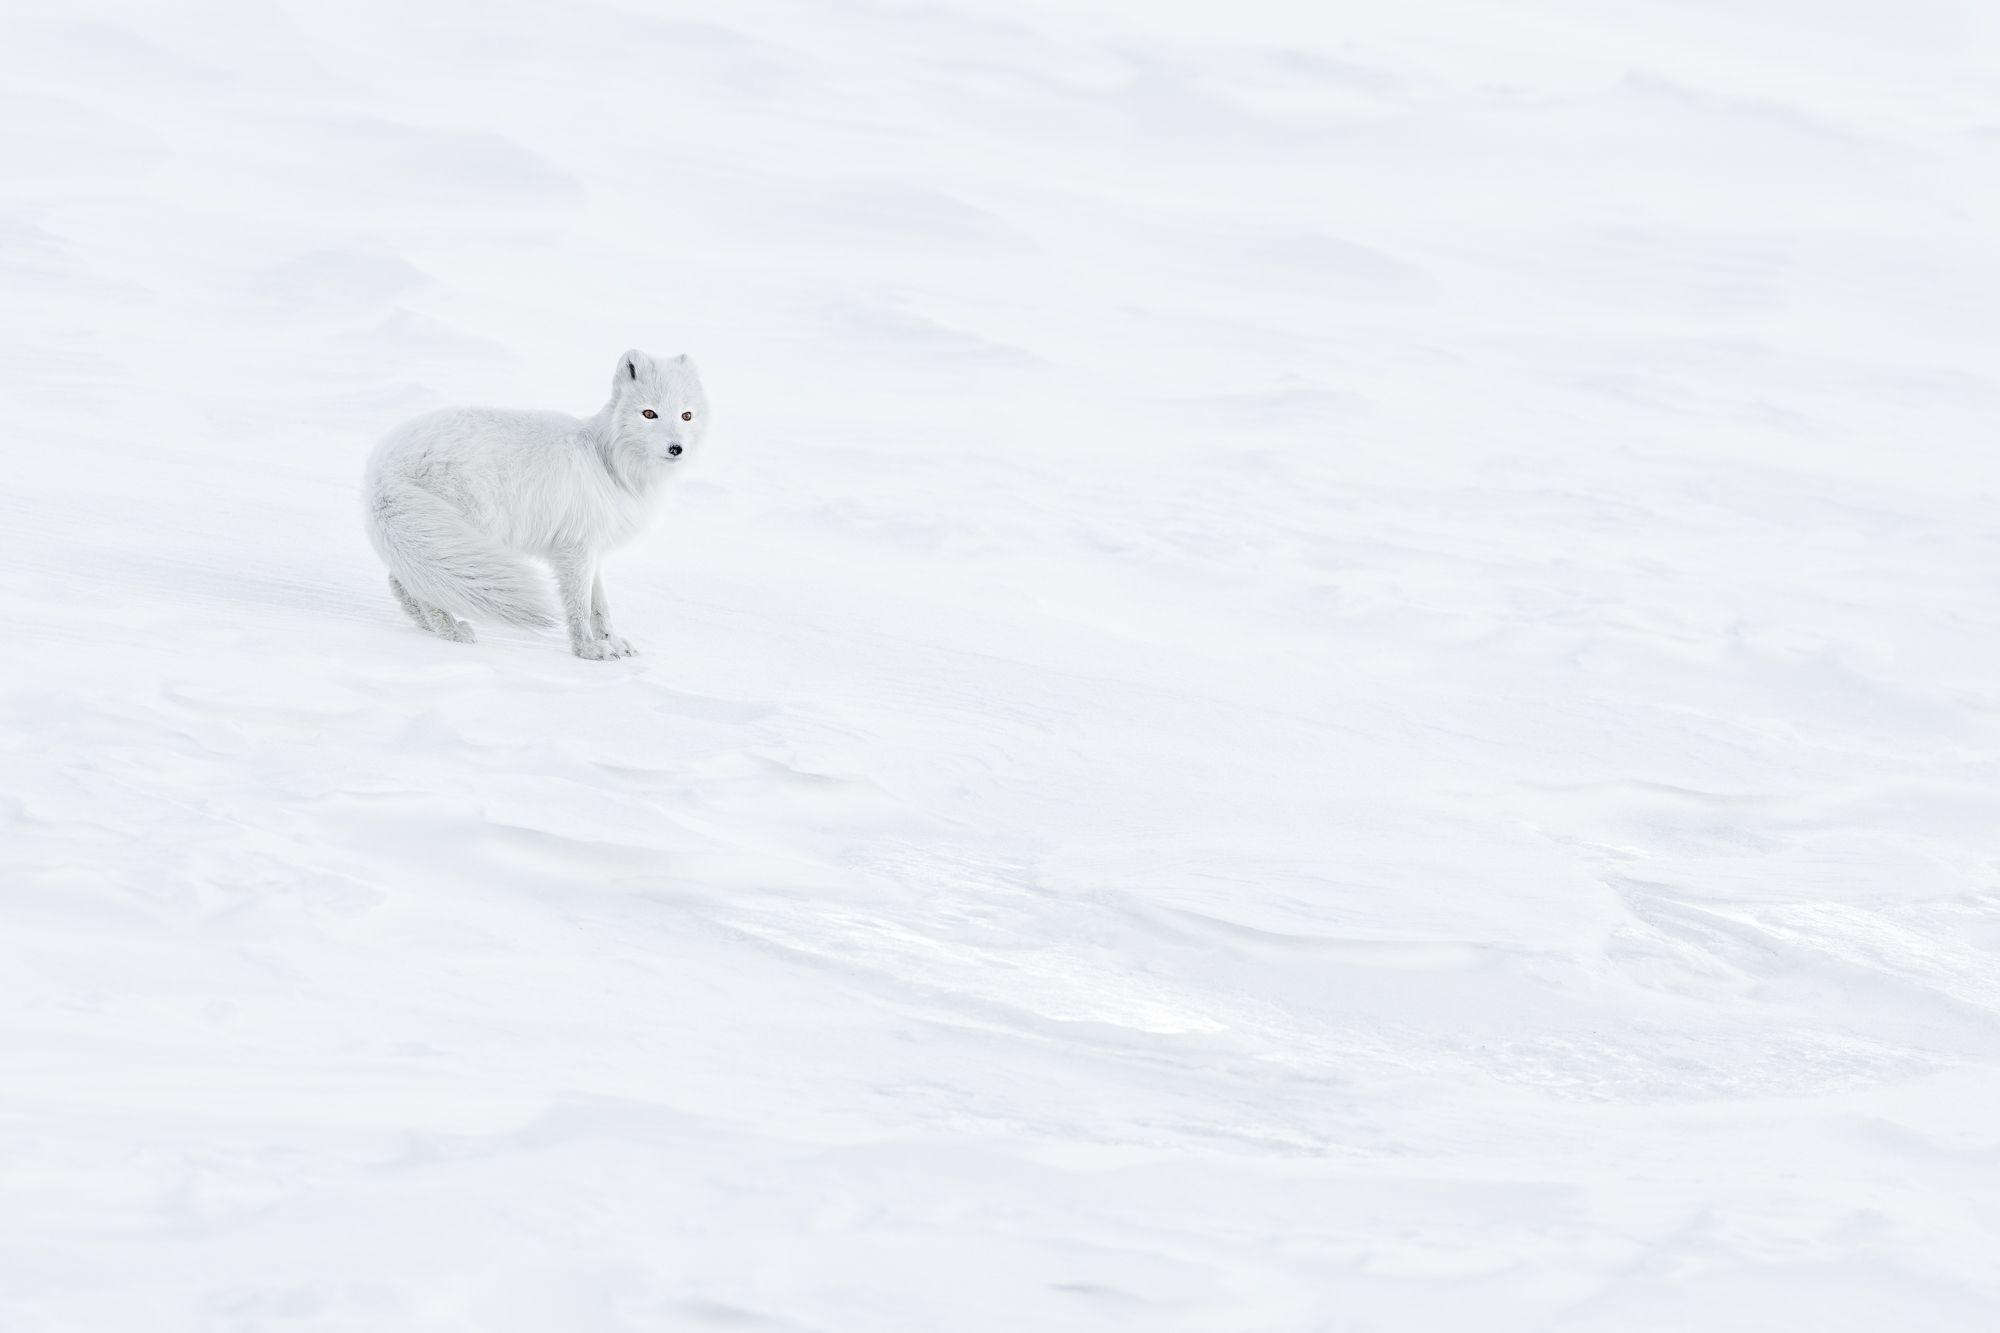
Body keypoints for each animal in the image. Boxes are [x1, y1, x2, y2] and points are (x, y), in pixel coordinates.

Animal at [364, 349, 709, 660]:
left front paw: (613, 642)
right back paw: (449, 629)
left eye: (686, 415)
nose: (676, 448)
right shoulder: (574, 549)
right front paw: (587, 650)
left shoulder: (591, 547)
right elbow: (580, 605)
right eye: (649, 413)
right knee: (414, 581)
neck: (609, 462)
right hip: (463, 530)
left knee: (403, 579)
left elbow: (600, 606)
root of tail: (382, 464)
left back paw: (428, 624)